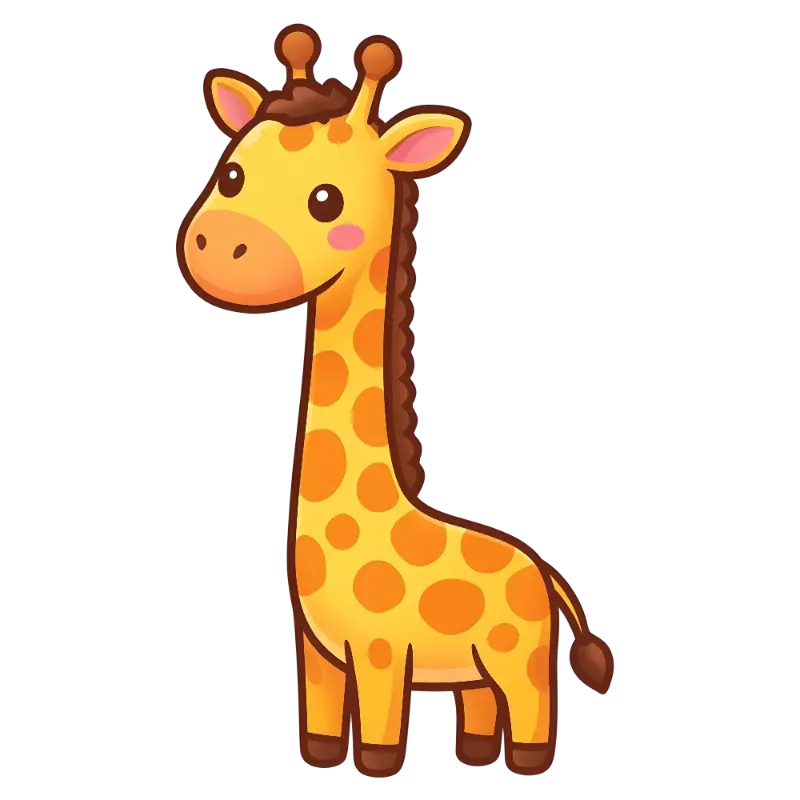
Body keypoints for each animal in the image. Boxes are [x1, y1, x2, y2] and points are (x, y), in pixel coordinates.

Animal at [176, 25, 615, 778]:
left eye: (327, 199)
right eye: (231, 174)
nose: (220, 246)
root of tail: (544, 573)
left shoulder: (382, 655)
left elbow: (381, 735)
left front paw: (376, 773)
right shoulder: (319, 658)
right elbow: (322, 726)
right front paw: (323, 760)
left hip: (521, 657)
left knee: (531, 709)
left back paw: (527, 762)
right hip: (475, 669)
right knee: (480, 708)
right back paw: (474, 755)